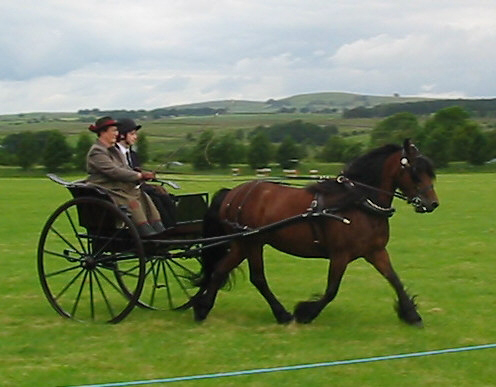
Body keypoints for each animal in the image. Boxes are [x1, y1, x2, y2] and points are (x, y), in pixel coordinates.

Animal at [190, 139, 438, 328]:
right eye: (415, 172)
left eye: (429, 172)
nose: (432, 204)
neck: (357, 202)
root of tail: (233, 193)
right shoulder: (340, 255)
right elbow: (331, 290)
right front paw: (306, 312)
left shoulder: (376, 251)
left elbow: (394, 279)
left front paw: (411, 314)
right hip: (252, 242)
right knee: (257, 278)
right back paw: (281, 314)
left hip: (243, 243)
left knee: (219, 271)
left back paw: (202, 308)